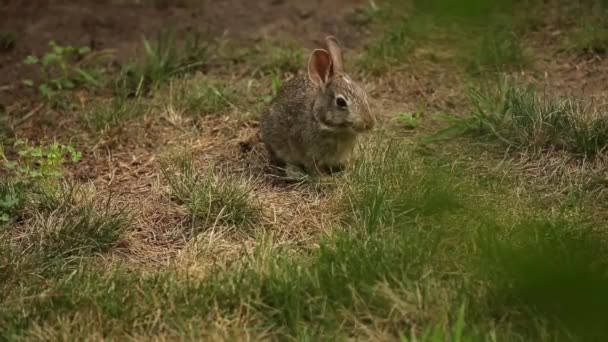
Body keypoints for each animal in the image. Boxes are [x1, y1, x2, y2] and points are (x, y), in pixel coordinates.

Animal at [260, 35, 376, 175]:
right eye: (340, 102)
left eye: (363, 93)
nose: (369, 124)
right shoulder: (308, 152)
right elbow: (314, 168)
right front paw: (324, 178)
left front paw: (348, 171)